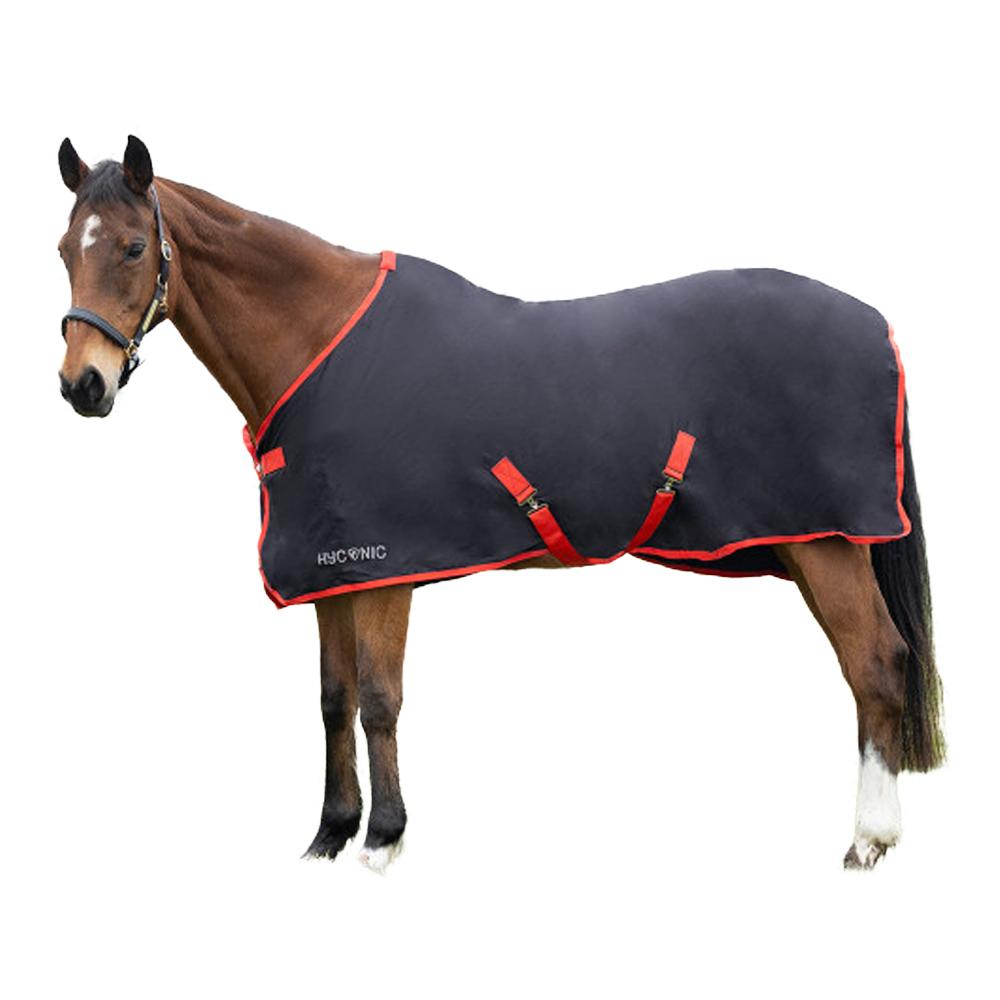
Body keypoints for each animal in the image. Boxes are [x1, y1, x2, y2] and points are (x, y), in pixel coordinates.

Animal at [55, 135, 945, 871]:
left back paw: (869, 840)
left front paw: (383, 841)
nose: (81, 386)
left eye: (134, 247)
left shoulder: (384, 573)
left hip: (827, 543)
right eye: (64, 249)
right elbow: (333, 701)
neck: (317, 342)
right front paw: (329, 835)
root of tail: (876, 324)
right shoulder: (331, 569)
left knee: (875, 664)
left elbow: (379, 701)